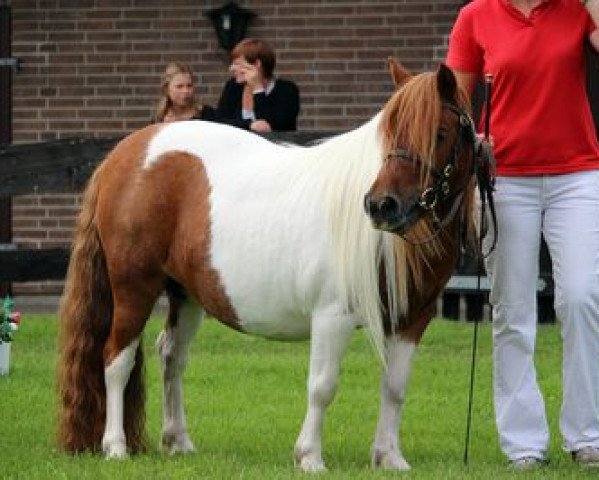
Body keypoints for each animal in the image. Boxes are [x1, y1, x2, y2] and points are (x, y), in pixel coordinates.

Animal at [57, 61, 482, 472]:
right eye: (389, 135)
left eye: (441, 133)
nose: (382, 206)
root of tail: (125, 154)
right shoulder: (332, 316)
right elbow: (322, 386)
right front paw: (309, 457)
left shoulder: (412, 321)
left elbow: (395, 387)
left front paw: (389, 457)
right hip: (134, 289)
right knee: (117, 359)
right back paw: (115, 447)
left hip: (187, 295)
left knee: (171, 356)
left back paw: (178, 441)